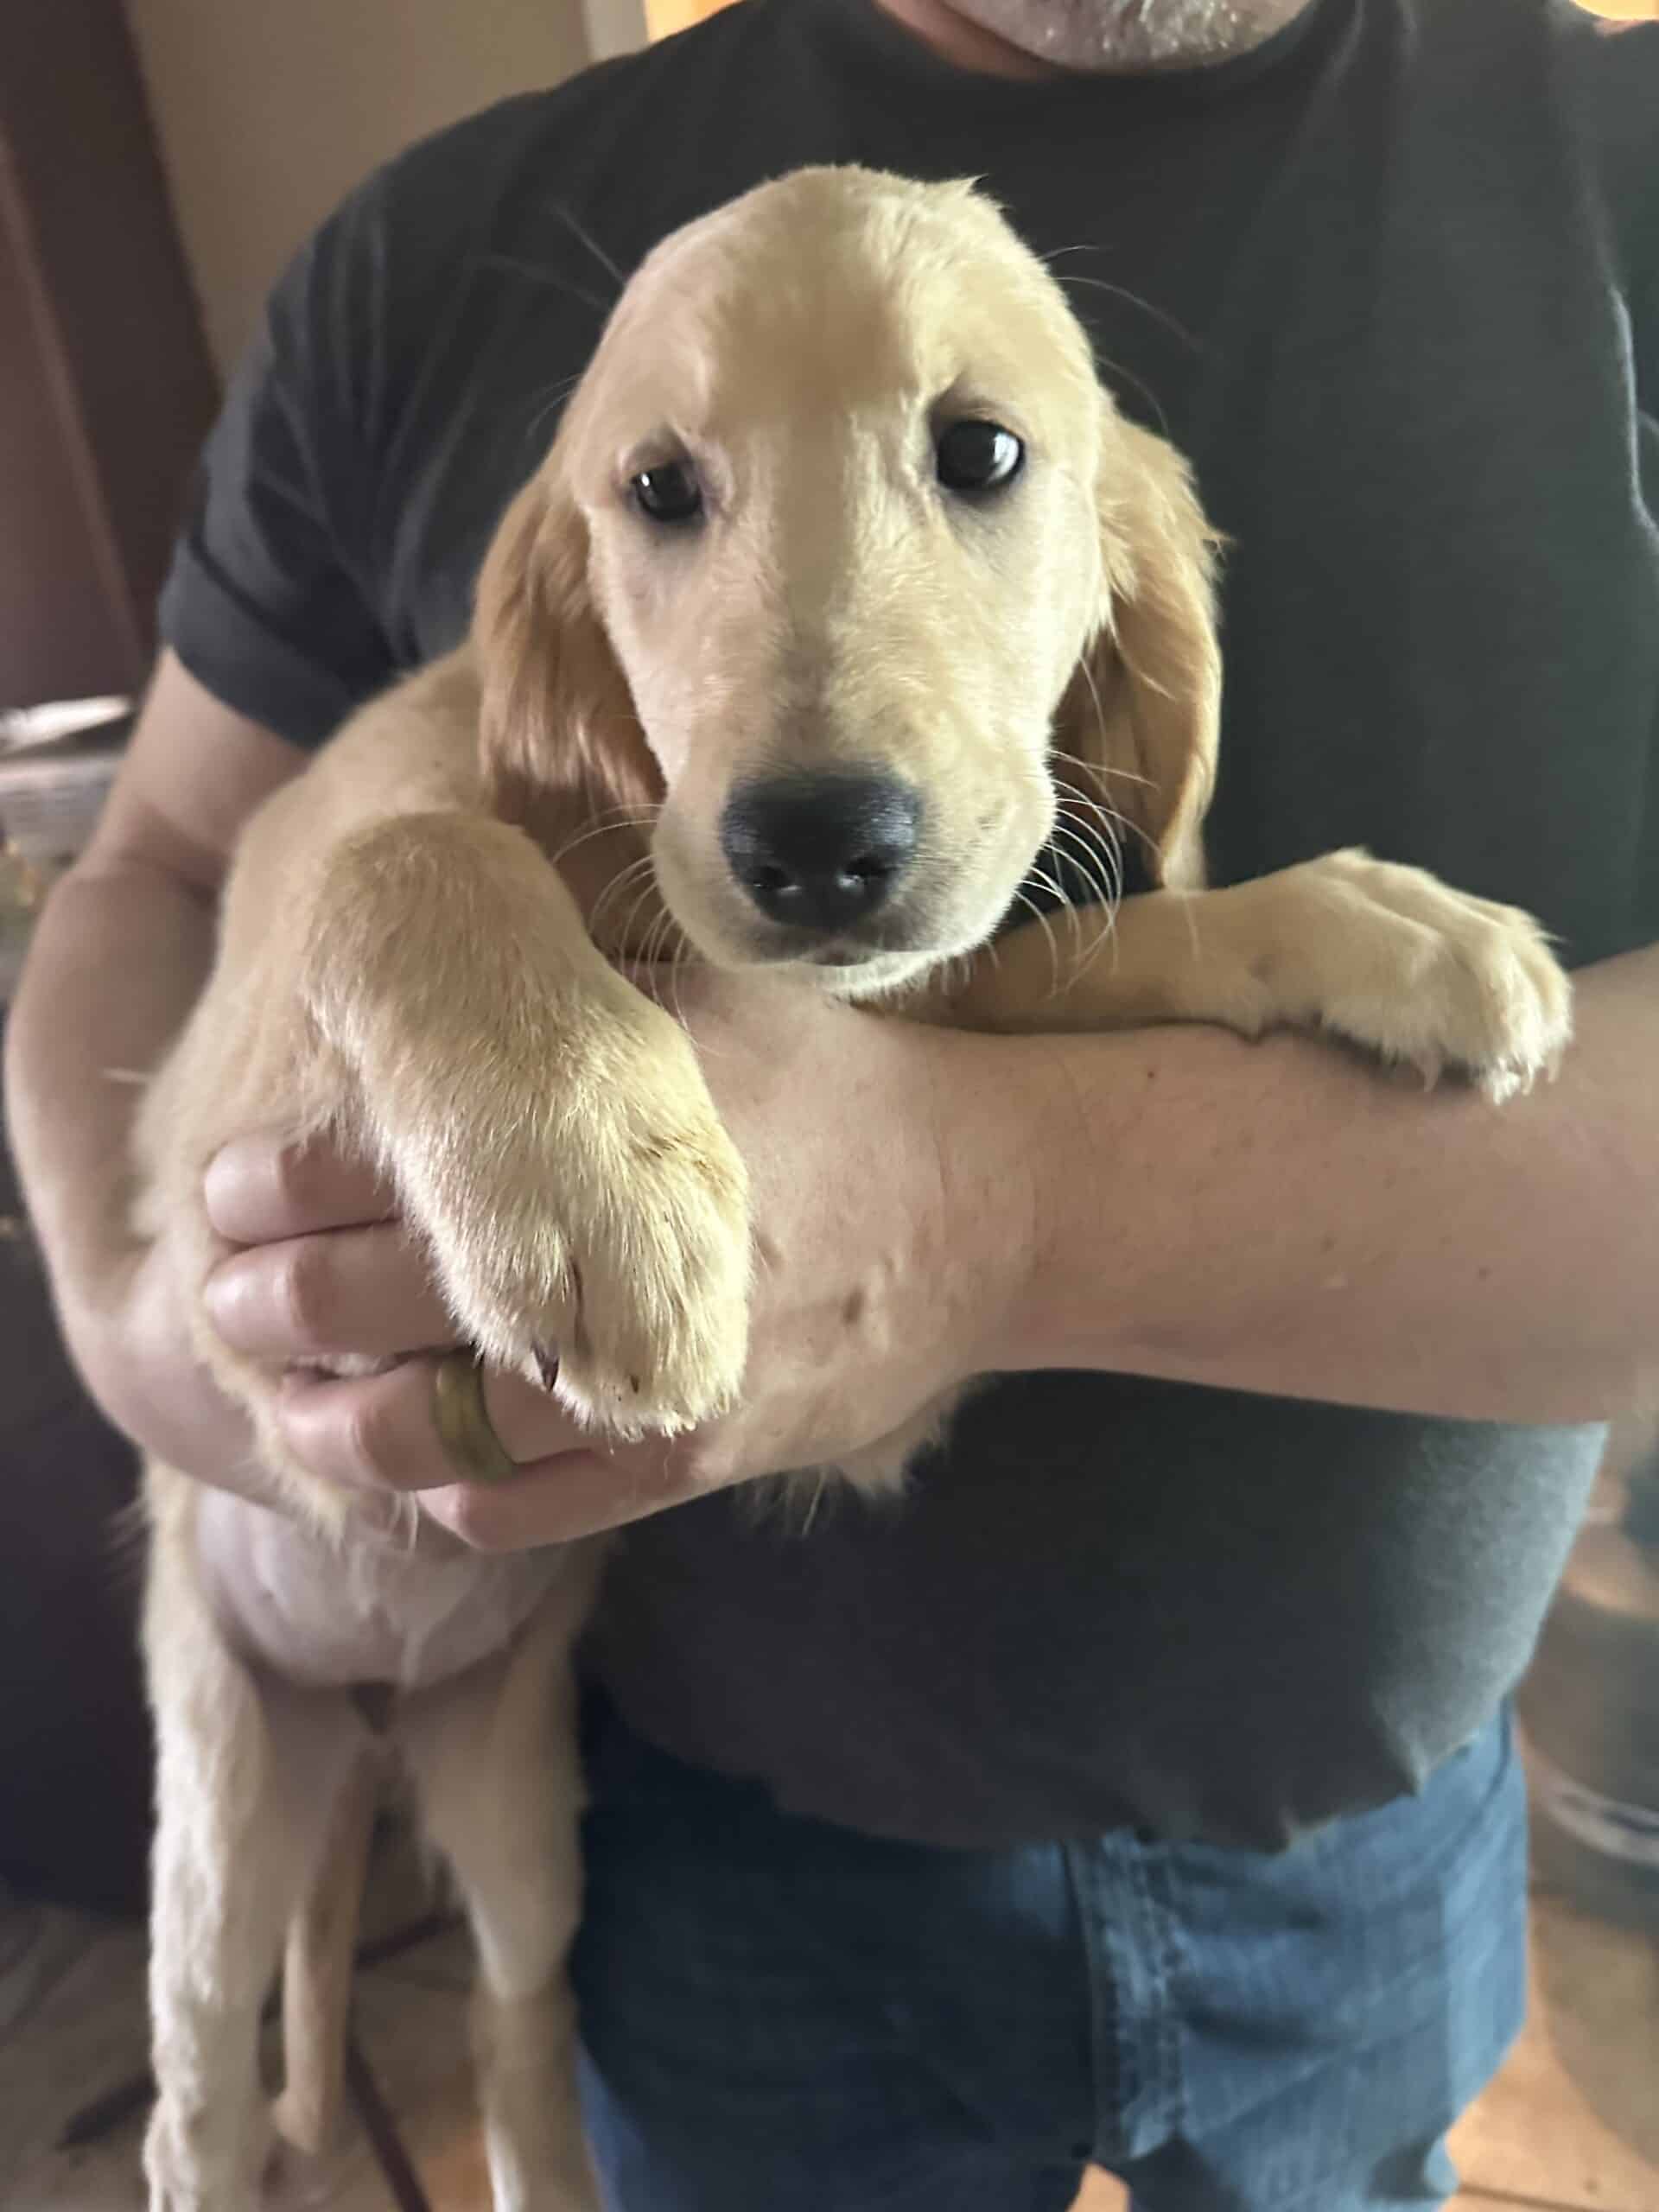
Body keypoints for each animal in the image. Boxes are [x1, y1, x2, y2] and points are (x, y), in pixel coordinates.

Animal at [130, 160, 1574, 2212]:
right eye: (660, 488)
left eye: (982, 451)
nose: (815, 843)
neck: (615, 884)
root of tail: (374, 1729)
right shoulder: (221, 1164)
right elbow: (402, 849)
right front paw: (594, 1167)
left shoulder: (923, 964)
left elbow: (1091, 938)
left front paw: (1378, 926)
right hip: (228, 1800)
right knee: (200, 2093)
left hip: (519, 1812)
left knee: (511, 2021)